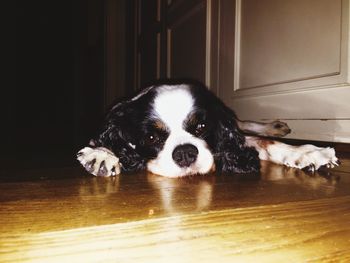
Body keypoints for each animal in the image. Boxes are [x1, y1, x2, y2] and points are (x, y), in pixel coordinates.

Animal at [76, 81, 340, 178]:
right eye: (151, 137)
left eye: (201, 126)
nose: (185, 153)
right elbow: (103, 142)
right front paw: (101, 154)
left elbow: (264, 142)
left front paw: (305, 152)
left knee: (246, 124)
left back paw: (275, 126)